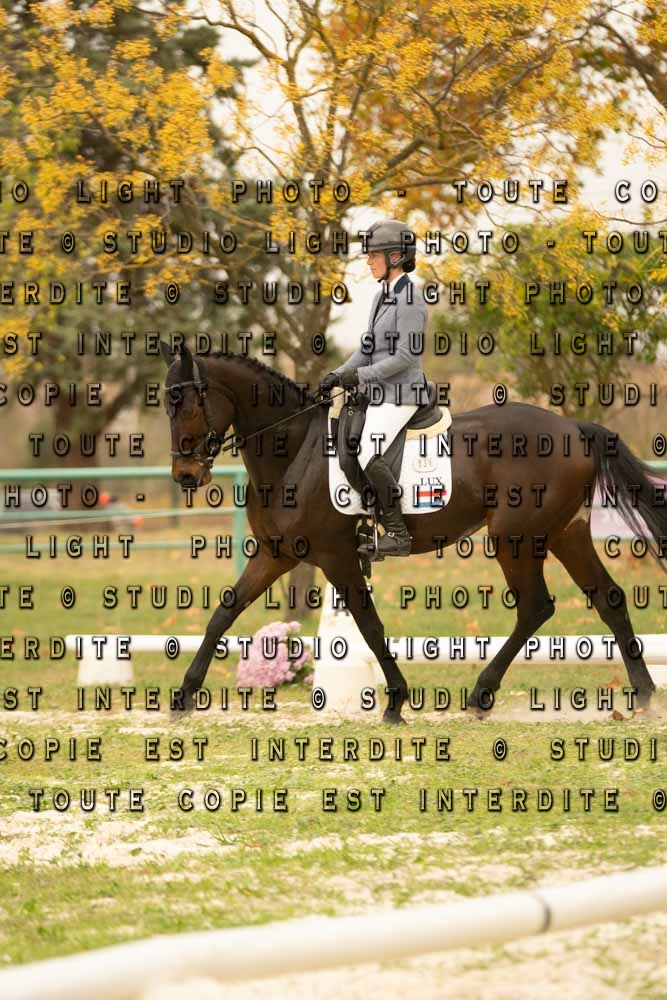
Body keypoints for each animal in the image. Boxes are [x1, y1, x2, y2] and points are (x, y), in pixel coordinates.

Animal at [161, 342, 666, 721]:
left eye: (187, 404)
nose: (185, 477)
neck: (295, 453)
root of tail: (573, 429)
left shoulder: (337, 557)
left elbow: (369, 624)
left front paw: (396, 702)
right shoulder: (276, 553)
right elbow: (224, 613)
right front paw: (183, 697)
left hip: (515, 539)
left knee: (535, 607)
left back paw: (481, 695)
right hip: (565, 534)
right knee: (608, 599)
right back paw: (642, 695)